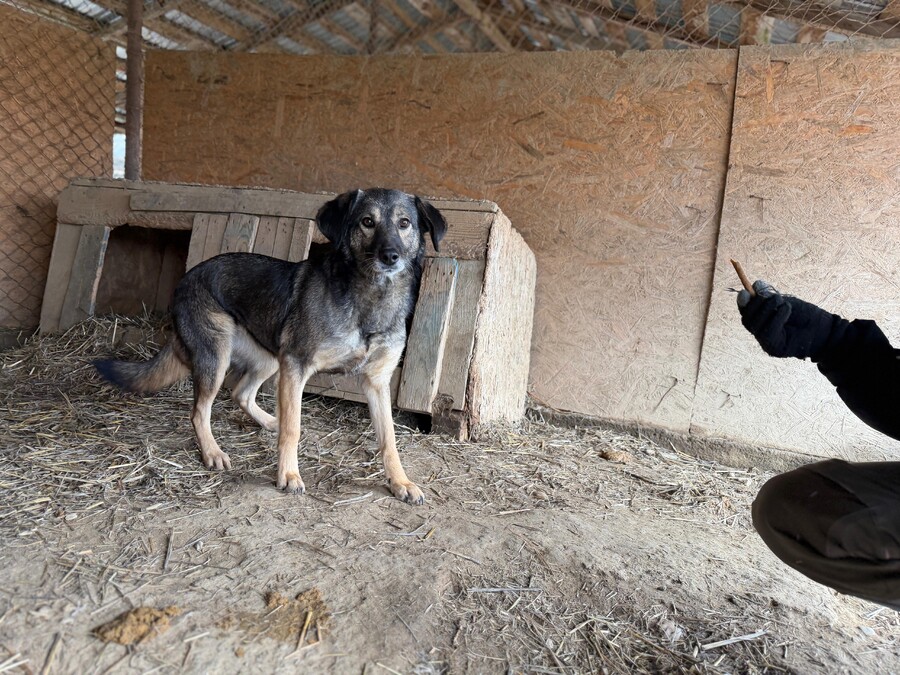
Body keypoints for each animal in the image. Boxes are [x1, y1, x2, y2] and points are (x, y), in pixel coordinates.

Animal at [94, 188, 448, 505]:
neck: (371, 298)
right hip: (218, 357)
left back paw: (267, 422)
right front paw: (288, 475)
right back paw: (212, 451)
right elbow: (293, 428)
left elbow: (389, 440)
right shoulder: (296, 364)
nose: (391, 256)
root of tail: (187, 278)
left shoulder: (375, 382)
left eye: (404, 223)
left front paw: (400, 482)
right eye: (367, 222)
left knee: (240, 393)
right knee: (199, 411)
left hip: (269, 357)